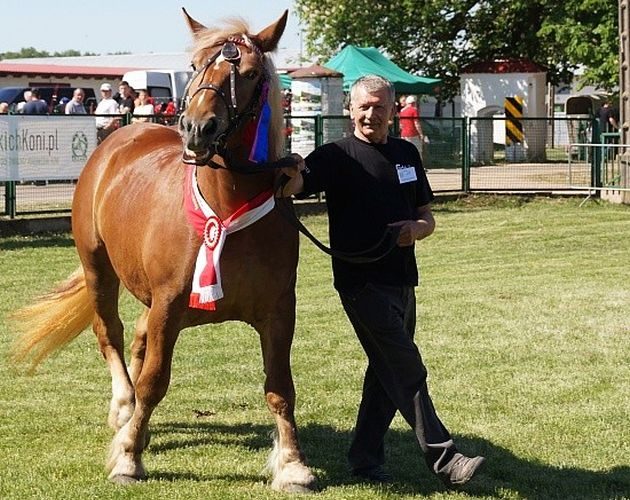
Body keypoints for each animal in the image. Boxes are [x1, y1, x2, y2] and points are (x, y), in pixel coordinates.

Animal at [14, 9, 318, 494]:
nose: (196, 128)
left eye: (251, 74)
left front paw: (293, 466)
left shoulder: (278, 312)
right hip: (99, 269)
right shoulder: (169, 306)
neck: (225, 208)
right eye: (194, 66)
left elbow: (280, 387)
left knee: (137, 339)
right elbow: (154, 381)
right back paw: (124, 410)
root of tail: (119, 138)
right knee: (111, 334)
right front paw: (128, 458)